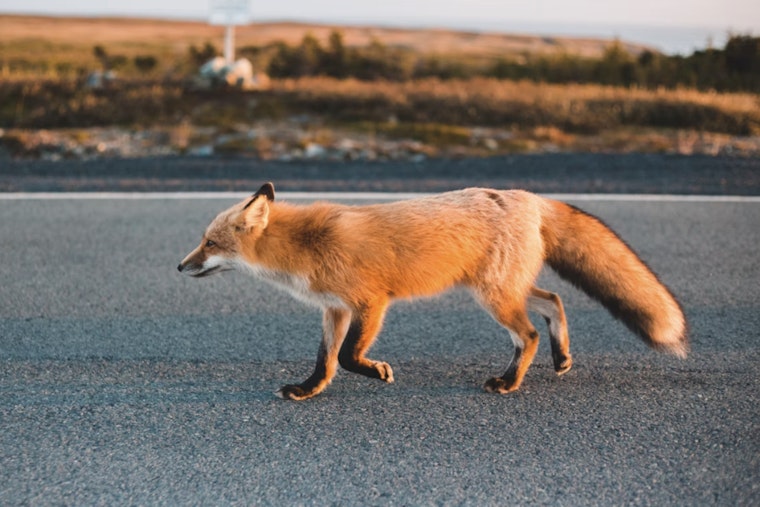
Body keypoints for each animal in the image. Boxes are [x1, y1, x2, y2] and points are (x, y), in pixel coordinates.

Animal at [178, 182, 687, 400]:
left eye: (210, 243)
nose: (180, 266)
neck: (306, 245)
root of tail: (529, 197)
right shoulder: (334, 309)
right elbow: (326, 361)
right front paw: (308, 390)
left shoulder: (371, 301)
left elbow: (350, 357)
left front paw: (378, 371)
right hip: (501, 288)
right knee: (554, 301)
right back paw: (561, 357)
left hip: (493, 296)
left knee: (528, 334)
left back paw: (509, 382)